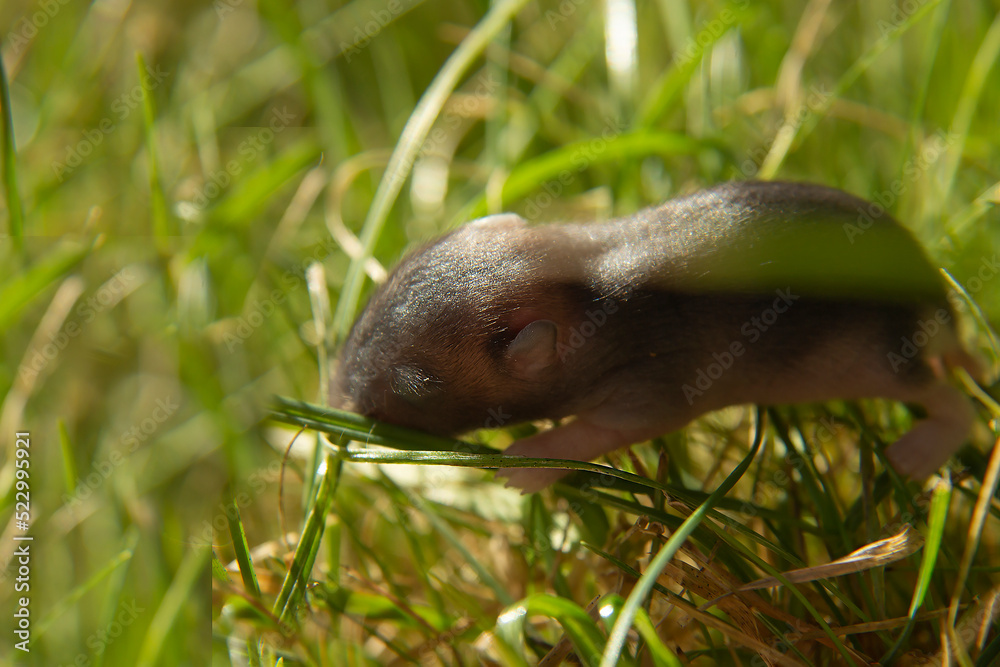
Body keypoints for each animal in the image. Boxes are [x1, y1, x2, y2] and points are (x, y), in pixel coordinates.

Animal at [331, 181, 979, 492]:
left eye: (415, 391)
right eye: (366, 313)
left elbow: (615, 425)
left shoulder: (655, 371)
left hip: (877, 352)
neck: (578, 273)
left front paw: (529, 462)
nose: (335, 398)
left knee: (945, 397)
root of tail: (936, 293)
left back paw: (923, 447)